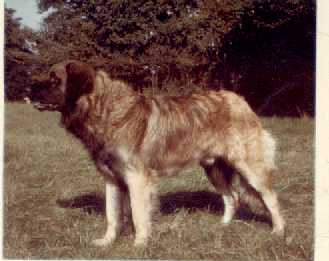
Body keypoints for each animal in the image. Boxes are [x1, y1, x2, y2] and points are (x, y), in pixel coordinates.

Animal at [31, 60, 284, 247]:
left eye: (54, 79)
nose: (30, 87)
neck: (103, 109)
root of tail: (240, 101)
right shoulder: (111, 179)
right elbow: (112, 215)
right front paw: (107, 242)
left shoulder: (137, 178)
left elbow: (138, 214)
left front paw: (139, 245)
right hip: (214, 168)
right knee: (231, 197)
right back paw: (223, 226)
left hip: (250, 167)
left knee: (270, 197)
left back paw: (278, 232)